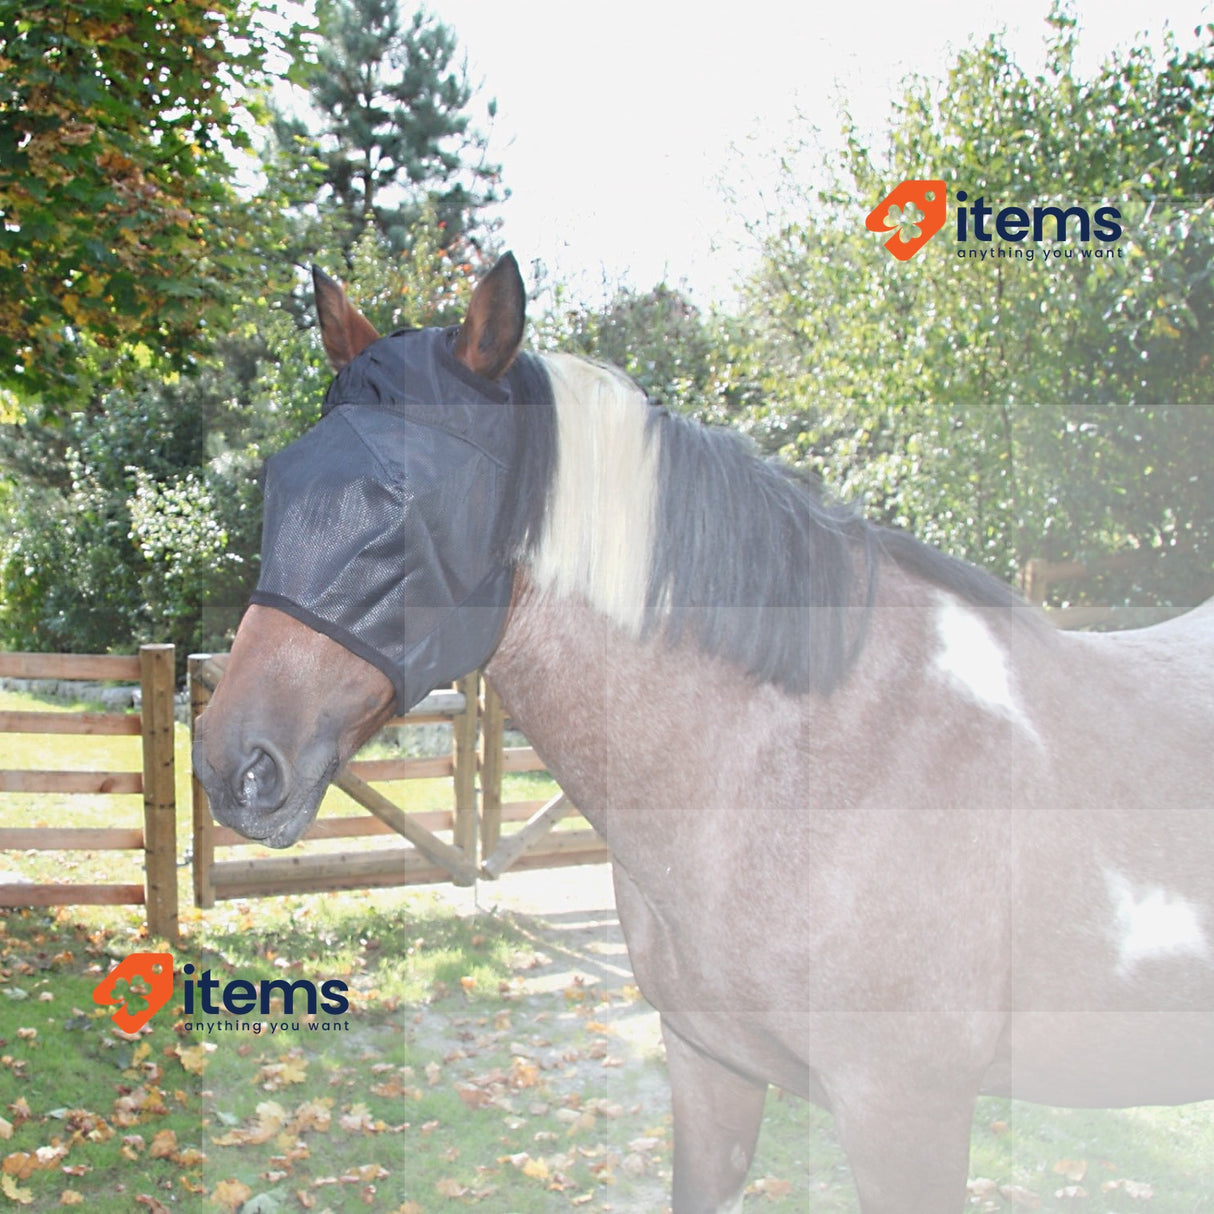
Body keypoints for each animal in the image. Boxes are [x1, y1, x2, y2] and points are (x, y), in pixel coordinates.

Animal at [192, 253, 1214, 1213]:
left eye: (408, 499)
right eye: (279, 479)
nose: (231, 763)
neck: (803, 771)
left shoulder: (907, 1112)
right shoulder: (707, 1064)